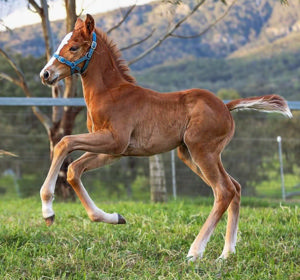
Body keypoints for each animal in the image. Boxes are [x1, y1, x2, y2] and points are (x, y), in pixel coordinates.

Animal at [38, 14, 292, 260]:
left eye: (73, 47)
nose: (45, 74)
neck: (111, 94)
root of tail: (225, 106)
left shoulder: (115, 141)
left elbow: (64, 142)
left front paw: (48, 210)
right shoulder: (115, 152)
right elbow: (74, 170)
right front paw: (115, 217)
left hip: (202, 151)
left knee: (224, 190)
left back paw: (195, 251)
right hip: (189, 153)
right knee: (235, 187)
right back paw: (227, 253)